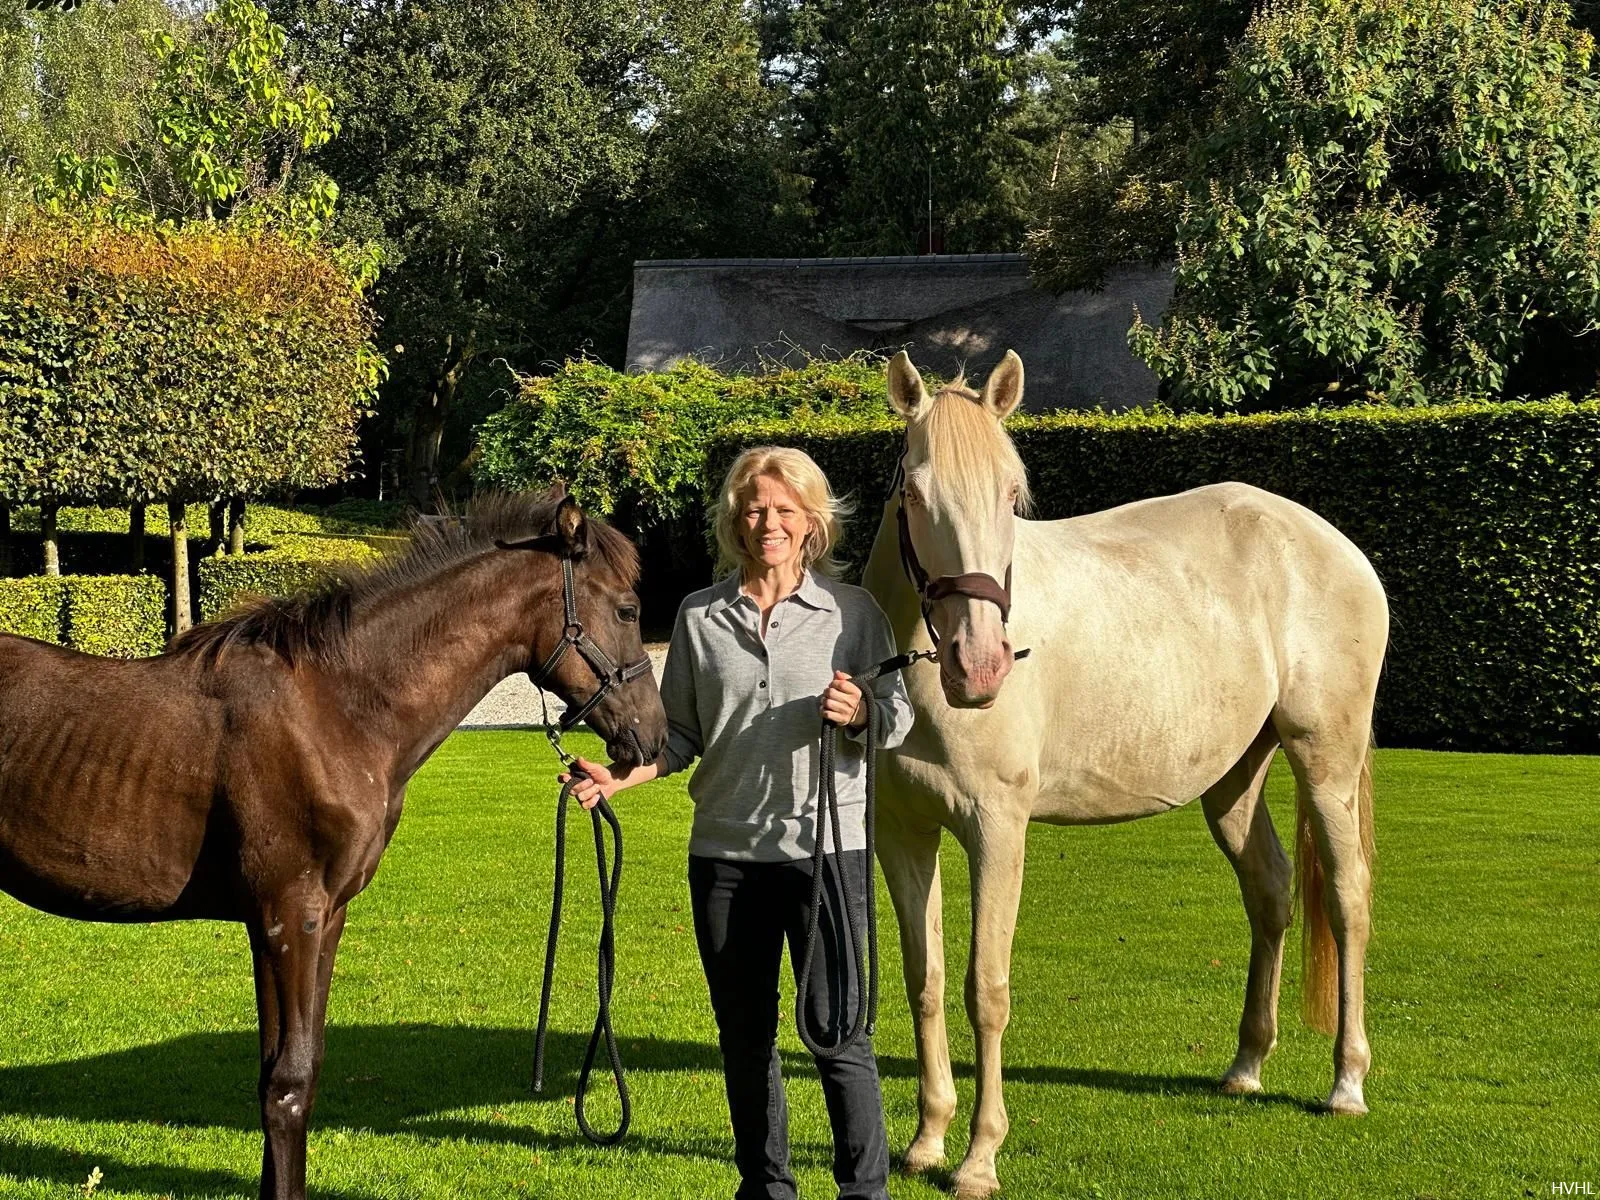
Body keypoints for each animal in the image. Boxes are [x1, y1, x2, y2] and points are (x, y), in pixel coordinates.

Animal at [0, 489, 665, 1200]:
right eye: (627, 610)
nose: (652, 737)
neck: (337, 708)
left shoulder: (316, 917)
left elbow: (292, 1069)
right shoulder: (289, 915)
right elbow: (288, 1086)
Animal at [864, 352, 1388, 1196]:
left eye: (1012, 494)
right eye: (913, 493)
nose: (981, 666)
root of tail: (1329, 542)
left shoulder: (997, 832)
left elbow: (987, 990)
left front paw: (979, 1157)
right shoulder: (903, 836)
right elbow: (928, 980)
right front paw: (926, 1140)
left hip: (1325, 761)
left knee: (1345, 901)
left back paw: (1346, 1082)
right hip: (1234, 782)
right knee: (1271, 891)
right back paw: (1245, 1065)